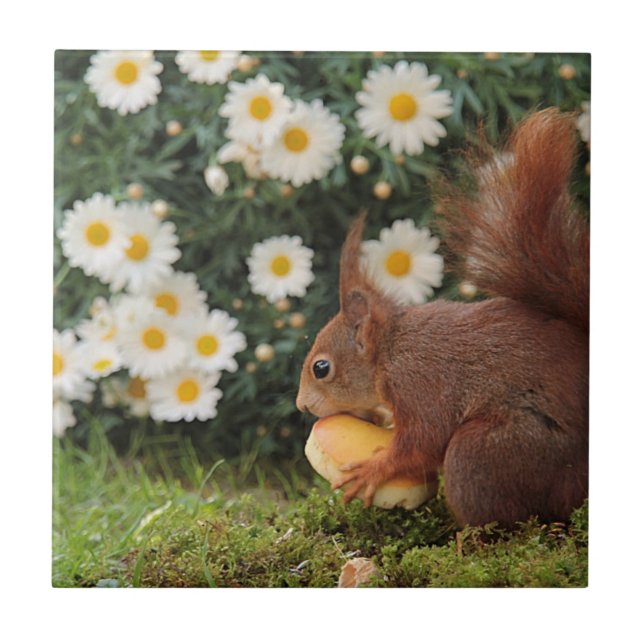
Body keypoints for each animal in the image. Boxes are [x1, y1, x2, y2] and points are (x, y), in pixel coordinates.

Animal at [295, 108, 589, 528]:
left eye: (321, 368)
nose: (302, 406)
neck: (390, 351)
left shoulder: (419, 382)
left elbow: (423, 440)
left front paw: (375, 470)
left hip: (490, 453)